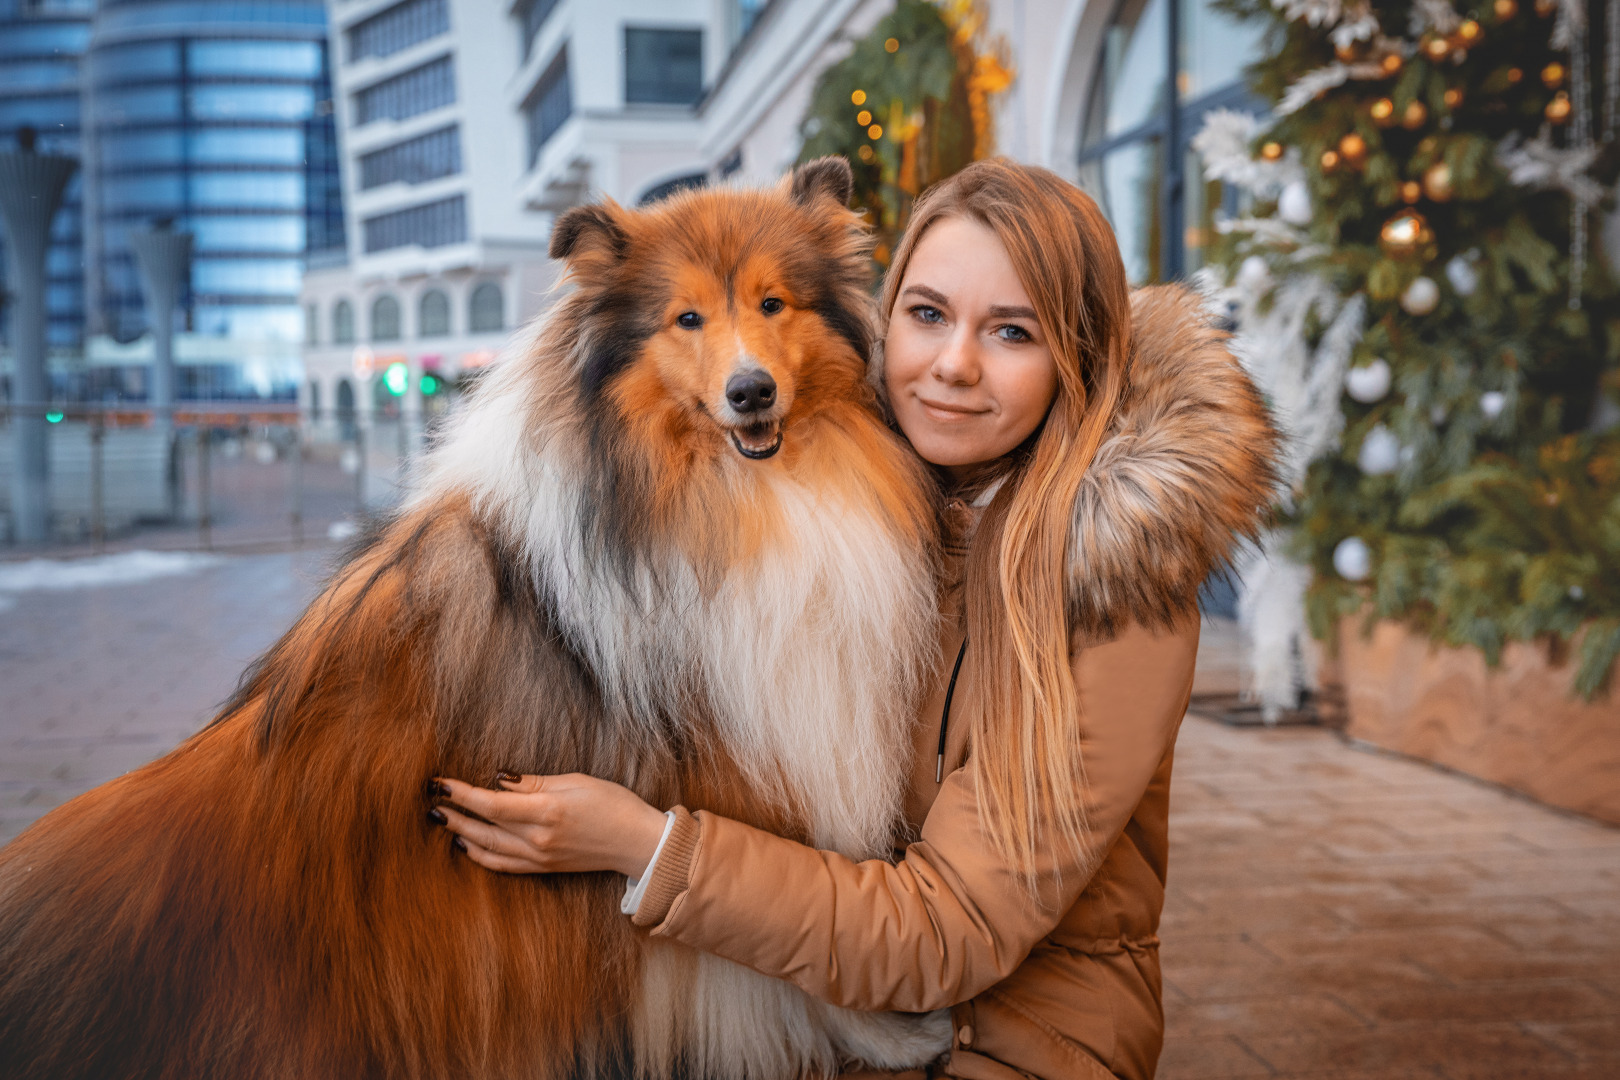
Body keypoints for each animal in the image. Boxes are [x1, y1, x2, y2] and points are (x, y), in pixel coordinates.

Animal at [0, 160, 946, 1080]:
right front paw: (884, 1036)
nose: (751, 393)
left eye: (773, 303)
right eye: (686, 317)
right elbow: (764, 955)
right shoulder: (730, 769)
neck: (719, 492)